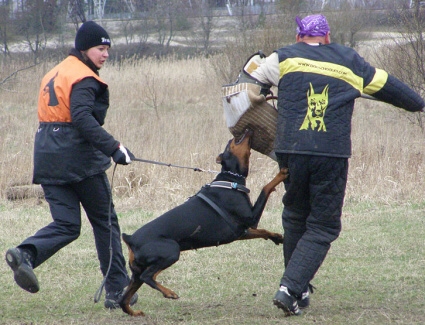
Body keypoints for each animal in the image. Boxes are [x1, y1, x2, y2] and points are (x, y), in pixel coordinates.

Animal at [117, 128, 286, 314]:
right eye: (230, 143)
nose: (245, 130)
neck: (231, 179)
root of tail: (130, 239)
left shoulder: (242, 230)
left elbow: (262, 231)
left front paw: (277, 237)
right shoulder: (251, 218)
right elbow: (266, 187)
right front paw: (281, 173)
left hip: (136, 271)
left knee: (124, 299)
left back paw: (135, 312)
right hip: (171, 250)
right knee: (148, 276)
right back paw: (169, 293)